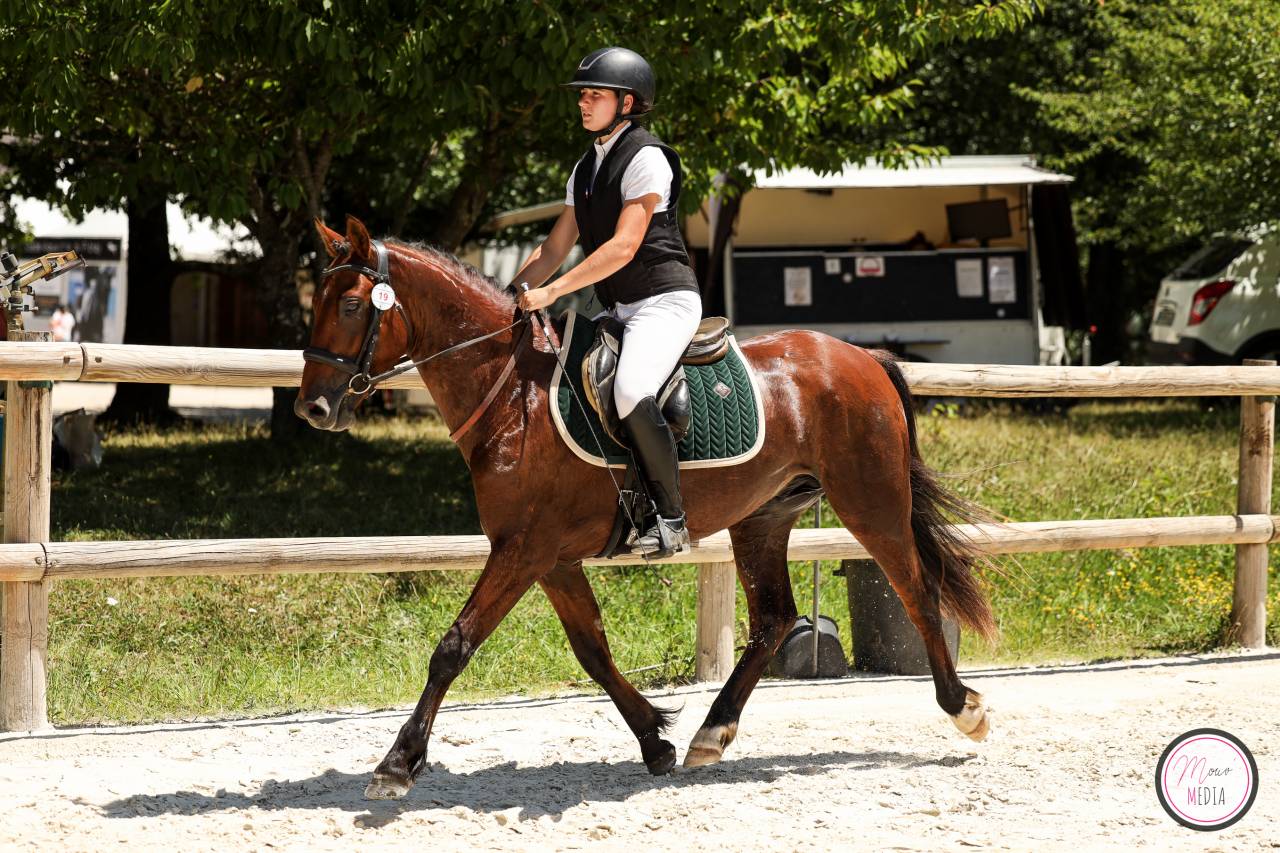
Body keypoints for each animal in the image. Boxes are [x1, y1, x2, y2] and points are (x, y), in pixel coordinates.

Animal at [297, 214, 997, 800]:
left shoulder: (523, 551)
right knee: (774, 618)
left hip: (871, 501)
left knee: (916, 589)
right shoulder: (551, 559)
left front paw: (397, 764)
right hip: (764, 517)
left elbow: (454, 646)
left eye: (352, 305)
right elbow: (593, 650)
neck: (513, 392)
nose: (313, 408)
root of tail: (861, 357)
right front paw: (654, 740)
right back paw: (711, 734)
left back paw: (963, 707)